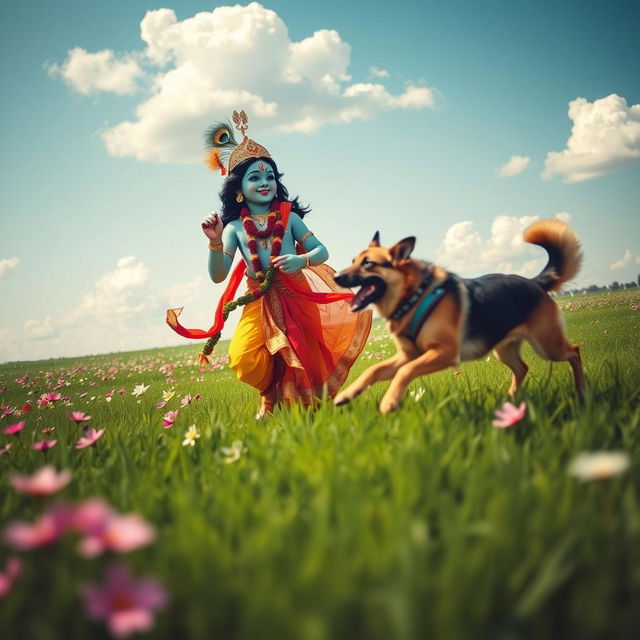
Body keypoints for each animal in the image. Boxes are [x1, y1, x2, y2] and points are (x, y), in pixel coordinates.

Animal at [336, 220, 584, 416]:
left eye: (368, 263)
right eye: (353, 260)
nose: (337, 277)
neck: (414, 296)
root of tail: (535, 282)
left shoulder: (443, 353)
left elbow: (405, 372)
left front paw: (389, 401)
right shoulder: (408, 355)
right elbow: (374, 370)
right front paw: (347, 394)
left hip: (548, 345)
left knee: (574, 351)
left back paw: (581, 390)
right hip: (504, 349)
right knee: (522, 368)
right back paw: (511, 399)